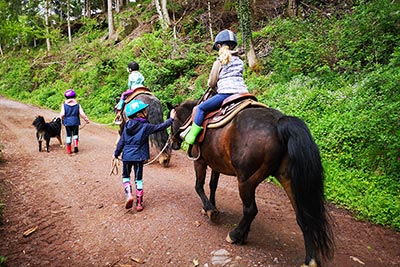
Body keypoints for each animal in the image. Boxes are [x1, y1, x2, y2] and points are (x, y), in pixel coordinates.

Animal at [168, 101, 334, 267]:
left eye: (171, 122)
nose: (173, 143)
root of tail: (279, 122)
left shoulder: (200, 161)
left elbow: (199, 186)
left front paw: (210, 210)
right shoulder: (216, 164)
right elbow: (213, 185)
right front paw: (210, 206)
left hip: (246, 180)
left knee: (250, 209)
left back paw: (235, 235)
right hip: (288, 179)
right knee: (304, 217)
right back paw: (310, 259)